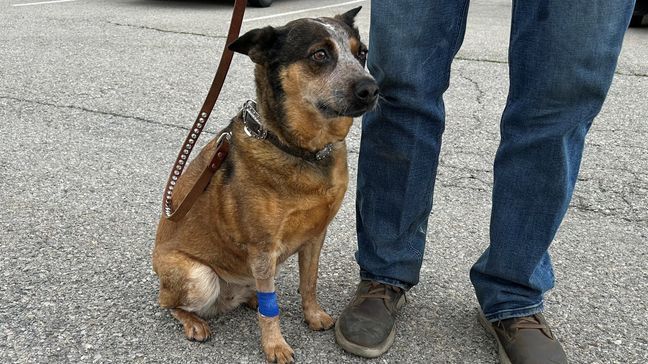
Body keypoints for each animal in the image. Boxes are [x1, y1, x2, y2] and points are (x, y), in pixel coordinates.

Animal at [153, 6, 378, 364]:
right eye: (319, 54)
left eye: (362, 53)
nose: (372, 90)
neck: (301, 149)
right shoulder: (263, 247)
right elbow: (272, 312)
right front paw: (275, 345)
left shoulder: (315, 236)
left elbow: (309, 282)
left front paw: (312, 315)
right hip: (199, 277)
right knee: (169, 304)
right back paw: (194, 322)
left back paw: (250, 299)